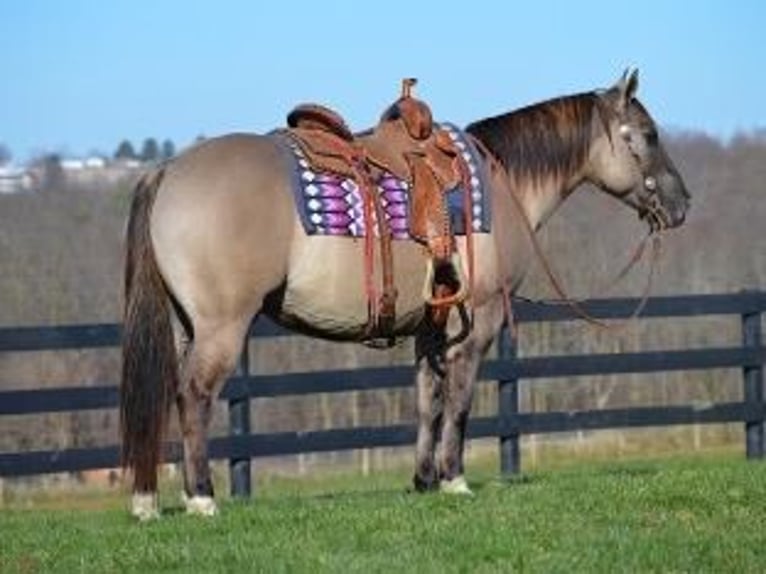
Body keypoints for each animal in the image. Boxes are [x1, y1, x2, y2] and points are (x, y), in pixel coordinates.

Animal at [123, 68, 692, 520]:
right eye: (648, 134)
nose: (682, 204)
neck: (503, 183)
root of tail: (167, 170)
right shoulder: (478, 322)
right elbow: (459, 401)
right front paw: (454, 478)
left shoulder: (431, 328)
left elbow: (427, 400)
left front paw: (423, 481)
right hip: (221, 326)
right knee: (193, 395)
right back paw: (201, 497)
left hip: (184, 327)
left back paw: (151, 502)